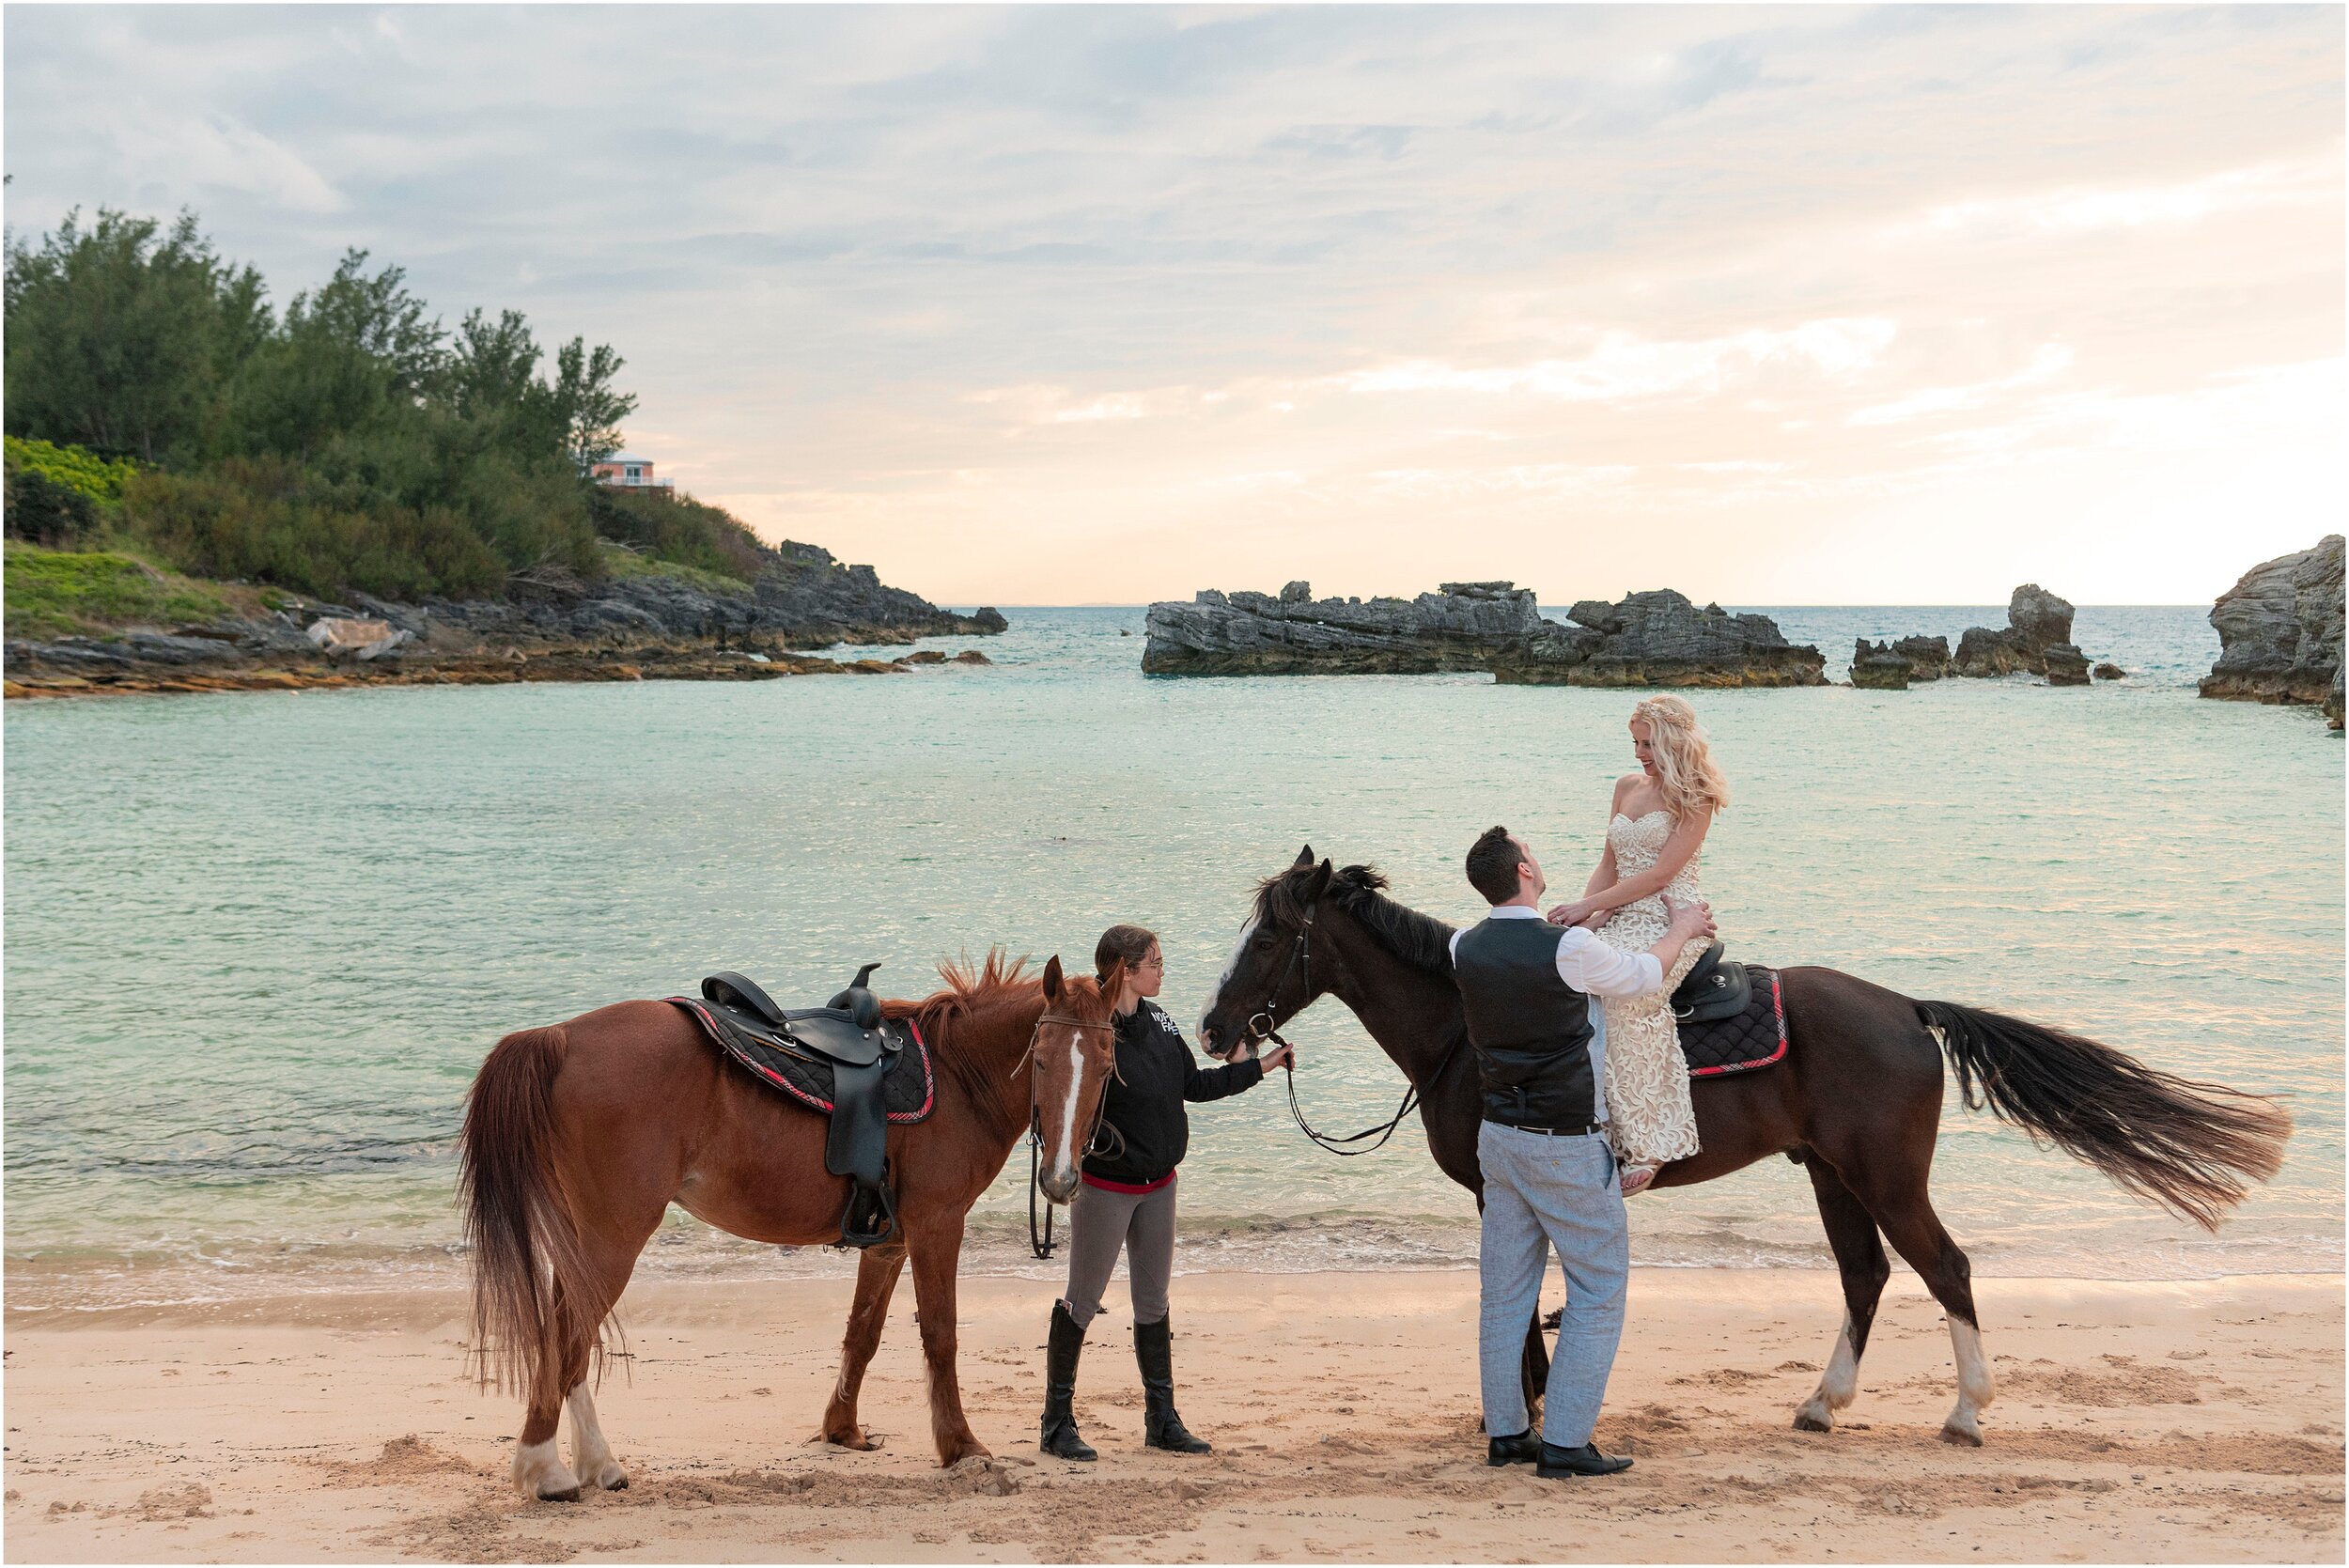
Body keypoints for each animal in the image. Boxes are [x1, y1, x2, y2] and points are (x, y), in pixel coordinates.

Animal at [462, 948, 1123, 1502]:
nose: (1062, 1179)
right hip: (613, 1238)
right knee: (565, 1336)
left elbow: (863, 1333)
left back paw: (595, 1464)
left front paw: (842, 1429)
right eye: (1040, 1060)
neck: (959, 1074)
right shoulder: (937, 1225)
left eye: (1106, 1065)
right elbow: (940, 1335)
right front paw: (961, 1447)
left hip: (586, 1240)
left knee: (565, 1335)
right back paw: (545, 1470)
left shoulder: (888, 1242)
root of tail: (558, 1037)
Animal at [1203, 859, 2283, 1446]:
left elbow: (1515, 1298)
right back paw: (1823, 1403)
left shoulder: (1496, 1188)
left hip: (1887, 1176)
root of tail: (1908, 1008)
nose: (1215, 1028)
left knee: (1945, 1267)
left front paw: (1522, 1410)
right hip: (1836, 1176)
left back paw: (1968, 1412)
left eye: (1269, 938)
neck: (1465, 1023)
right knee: (1864, 1275)